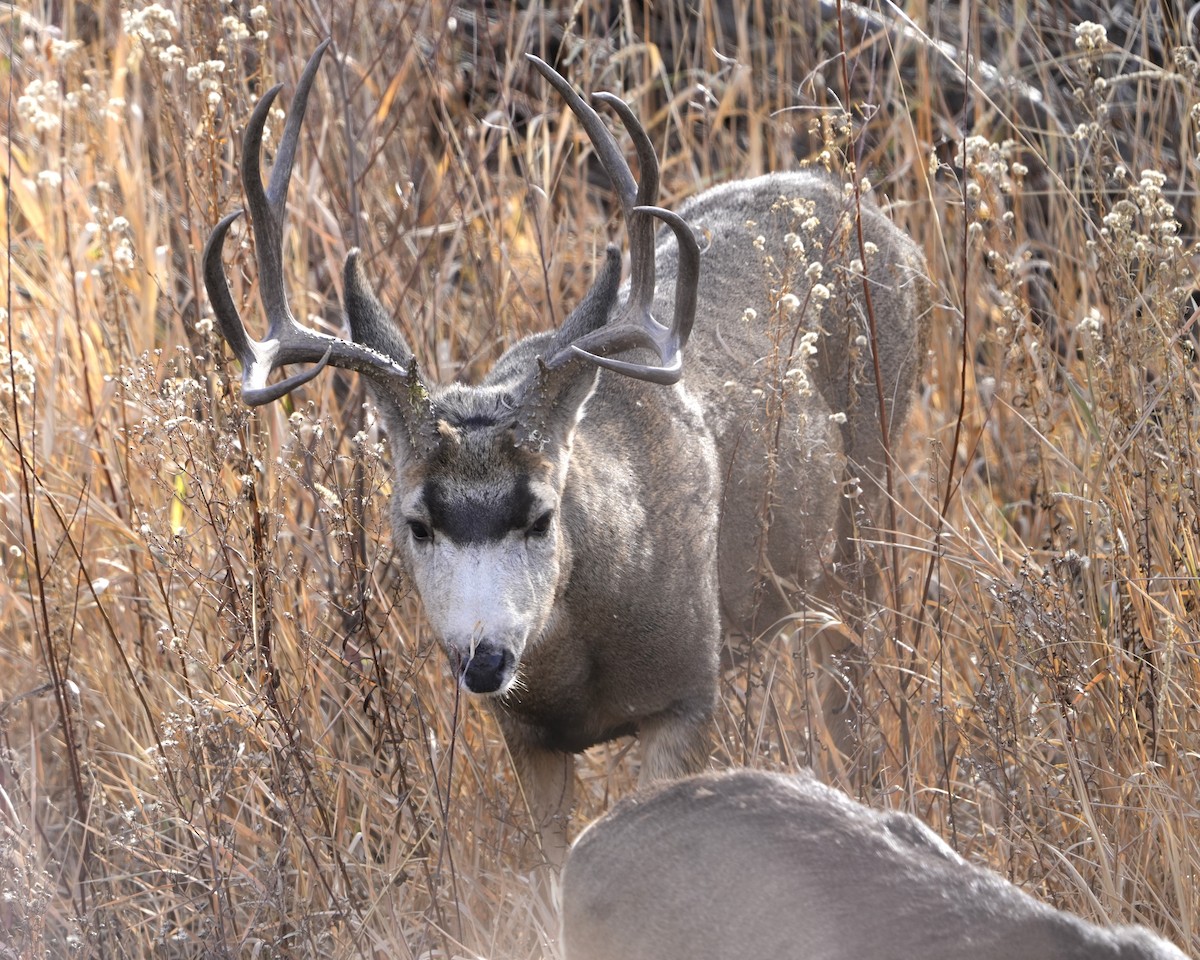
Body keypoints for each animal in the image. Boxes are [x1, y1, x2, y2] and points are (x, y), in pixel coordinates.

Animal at [203, 40, 930, 864]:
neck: (582, 663)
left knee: (855, 695)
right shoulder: (528, 738)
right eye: (418, 522)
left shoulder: (689, 693)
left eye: (541, 516)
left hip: (867, 511)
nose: (485, 659)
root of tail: (884, 223)